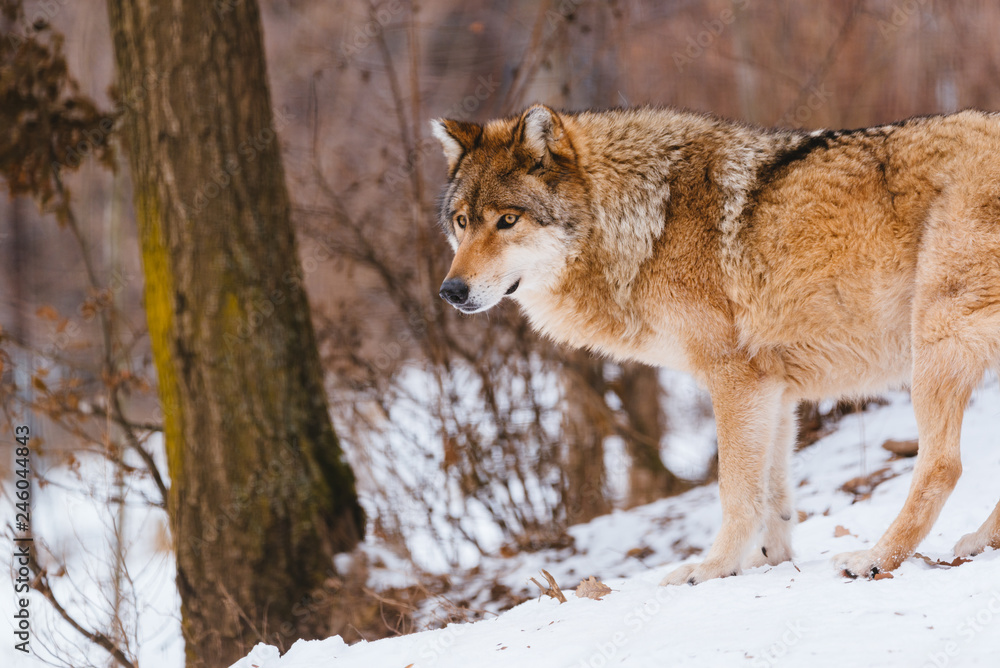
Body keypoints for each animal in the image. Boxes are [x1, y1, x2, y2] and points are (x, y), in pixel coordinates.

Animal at [431, 104, 1000, 584]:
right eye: (462, 222)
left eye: (507, 220)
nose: (450, 291)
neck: (644, 226)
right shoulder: (776, 393)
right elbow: (774, 498)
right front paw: (770, 564)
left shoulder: (736, 380)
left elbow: (736, 492)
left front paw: (712, 569)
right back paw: (979, 542)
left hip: (934, 346)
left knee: (943, 465)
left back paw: (875, 559)